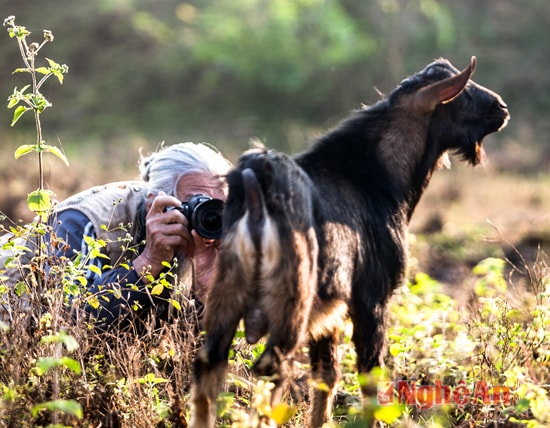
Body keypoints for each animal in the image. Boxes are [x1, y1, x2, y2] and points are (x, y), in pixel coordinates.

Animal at [191, 56, 512, 428]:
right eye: (463, 94)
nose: (501, 108)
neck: (378, 179)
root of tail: (257, 192)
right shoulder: (372, 299)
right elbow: (370, 377)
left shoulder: (329, 312)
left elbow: (325, 378)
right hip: (291, 306)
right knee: (272, 369)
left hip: (226, 297)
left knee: (209, 366)